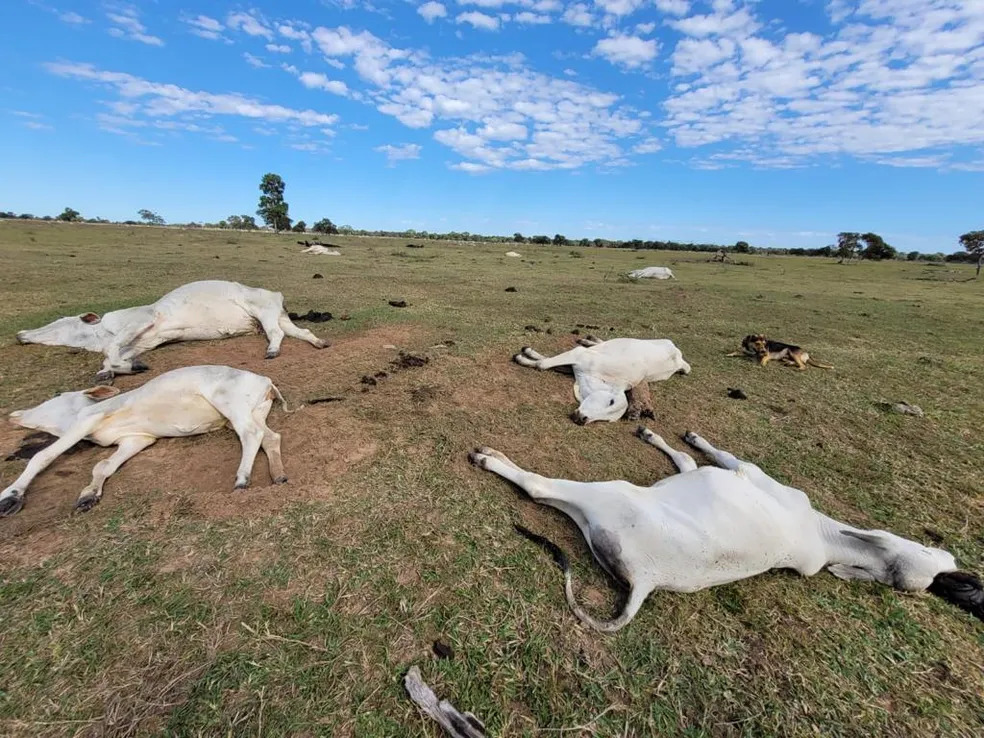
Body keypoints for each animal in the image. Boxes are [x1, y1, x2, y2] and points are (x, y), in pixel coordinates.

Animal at [0, 366, 290, 516]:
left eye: (57, 395)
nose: (14, 415)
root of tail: (265, 380)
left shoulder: (88, 420)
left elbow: (43, 456)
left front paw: (10, 496)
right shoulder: (137, 439)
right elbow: (103, 465)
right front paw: (88, 495)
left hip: (230, 404)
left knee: (251, 434)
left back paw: (242, 479)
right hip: (254, 411)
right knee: (270, 436)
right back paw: (278, 475)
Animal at [16, 278, 326, 380]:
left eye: (59, 323)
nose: (20, 335)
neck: (101, 332)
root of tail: (276, 294)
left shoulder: (144, 319)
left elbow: (113, 350)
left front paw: (121, 367)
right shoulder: (144, 342)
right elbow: (116, 356)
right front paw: (113, 371)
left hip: (264, 313)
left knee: (277, 334)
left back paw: (272, 351)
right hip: (276, 316)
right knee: (299, 333)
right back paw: (319, 343)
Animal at [470, 428, 984, 628]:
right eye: (939, 559)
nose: (963, 579)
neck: (824, 536)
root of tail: (647, 581)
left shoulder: (746, 471)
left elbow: (709, 455)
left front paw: (687, 436)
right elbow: (685, 460)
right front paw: (659, 435)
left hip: (607, 494)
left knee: (539, 489)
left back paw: (490, 458)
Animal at [516, 334, 692, 422]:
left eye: (608, 420)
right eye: (611, 401)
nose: (583, 419)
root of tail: (679, 358)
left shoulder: (574, 365)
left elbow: (546, 362)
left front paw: (526, 356)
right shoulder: (579, 355)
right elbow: (543, 363)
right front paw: (523, 355)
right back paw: (588, 339)